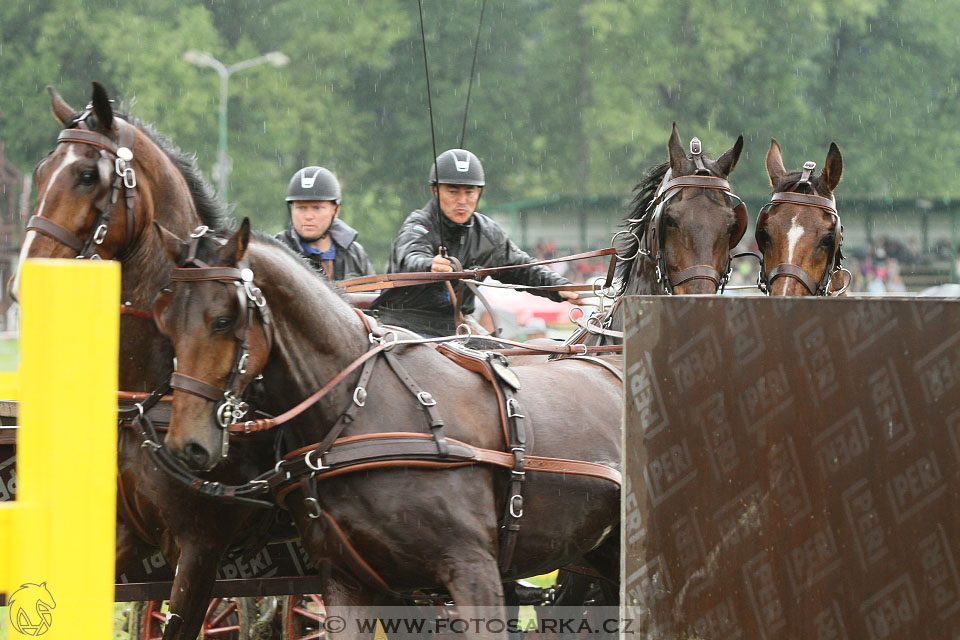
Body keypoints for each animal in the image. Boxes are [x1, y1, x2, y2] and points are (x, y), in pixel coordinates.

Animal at [156, 222, 624, 636]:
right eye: (166, 320)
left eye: (223, 320)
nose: (186, 443)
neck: (362, 411)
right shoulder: (347, 581)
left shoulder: (473, 569)